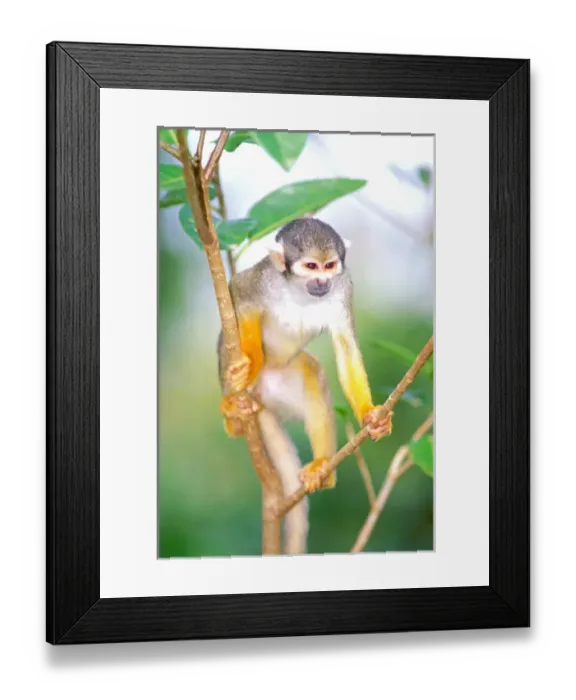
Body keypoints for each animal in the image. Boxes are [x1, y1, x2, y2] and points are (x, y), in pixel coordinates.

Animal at [217, 217, 392, 554]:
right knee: (226, 340)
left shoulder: (343, 287)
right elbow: (239, 296)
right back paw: (234, 413)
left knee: (313, 373)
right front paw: (250, 362)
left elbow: (345, 347)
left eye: (329, 266)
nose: (322, 281)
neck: (299, 292)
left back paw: (324, 469)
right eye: (311, 266)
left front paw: (370, 415)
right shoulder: (263, 280)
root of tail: (261, 396)